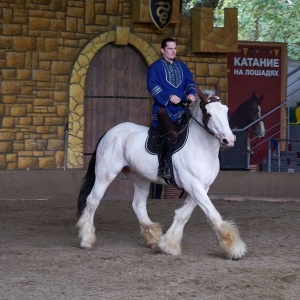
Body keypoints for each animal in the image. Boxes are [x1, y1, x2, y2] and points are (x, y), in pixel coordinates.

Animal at [77, 83, 246, 258]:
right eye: (209, 114)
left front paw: (168, 244)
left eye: (226, 111)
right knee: (92, 201)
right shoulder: (193, 184)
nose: (228, 139)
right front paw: (233, 247)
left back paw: (153, 237)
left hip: (140, 178)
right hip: (105, 175)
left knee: (138, 205)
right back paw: (86, 239)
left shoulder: (202, 186)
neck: (200, 146)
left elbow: (184, 215)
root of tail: (109, 133)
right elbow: (212, 214)